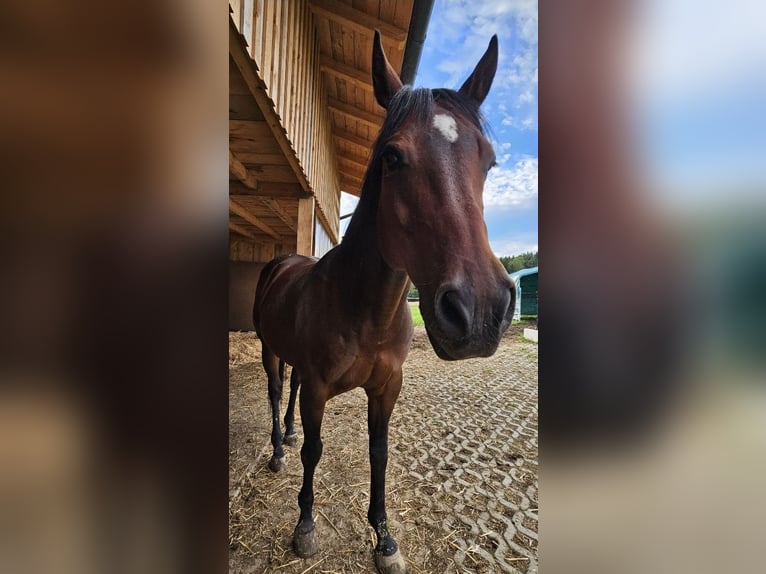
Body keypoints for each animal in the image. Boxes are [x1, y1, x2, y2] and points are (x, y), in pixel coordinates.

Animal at [252, 30, 514, 574]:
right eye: (392, 157)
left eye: (489, 161)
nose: (480, 310)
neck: (364, 311)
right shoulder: (319, 388)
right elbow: (315, 451)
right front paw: (304, 525)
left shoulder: (386, 387)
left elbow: (379, 453)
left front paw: (385, 538)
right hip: (269, 350)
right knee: (274, 391)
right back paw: (277, 449)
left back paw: (286, 434)